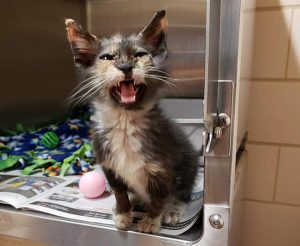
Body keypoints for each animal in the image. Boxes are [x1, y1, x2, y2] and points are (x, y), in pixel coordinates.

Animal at [64, 9, 198, 233]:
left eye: (140, 55)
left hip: (189, 166)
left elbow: (159, 198)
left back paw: (174, 209)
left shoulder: (163, 171)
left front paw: (151, 220)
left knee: (183, 192)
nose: (125, 66)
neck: (125, 123)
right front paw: (123, 212)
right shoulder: (109, 167)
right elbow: (119, 192)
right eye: (107, 57)